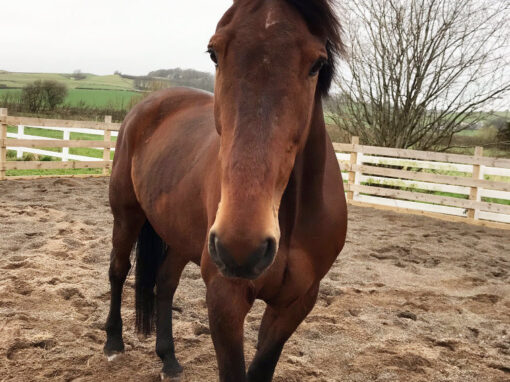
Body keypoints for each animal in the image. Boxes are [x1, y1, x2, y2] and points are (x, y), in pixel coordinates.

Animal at [105, 0, 348, 380]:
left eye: (317, 63)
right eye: (214, 53)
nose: (241, 246)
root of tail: (149, 103)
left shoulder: (294, 305)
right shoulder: (225, 300)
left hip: (181, 236)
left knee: (165, 283)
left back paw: (169, 359)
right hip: (127, 215)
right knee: (118, 269)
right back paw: (113, 343)